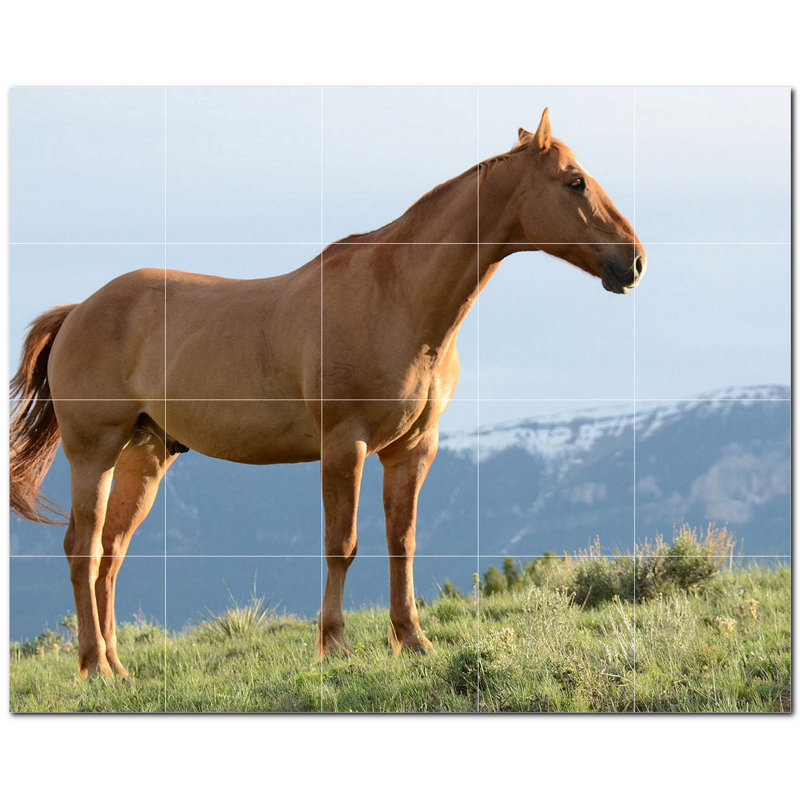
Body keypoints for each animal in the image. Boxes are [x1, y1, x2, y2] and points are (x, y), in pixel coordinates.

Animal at [10, 108, 645, 678]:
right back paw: (93, 666)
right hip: (95, 450)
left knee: (110, 554)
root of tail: (78, 311)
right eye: (575, 181)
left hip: (146, 454)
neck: (396, 298)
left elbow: (402, 542)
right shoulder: (346, 444)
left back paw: (118, 669)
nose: (634, 261)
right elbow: (343, 542)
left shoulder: (413, 448)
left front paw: (412, 641)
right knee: (83, 548)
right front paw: (335, 646)